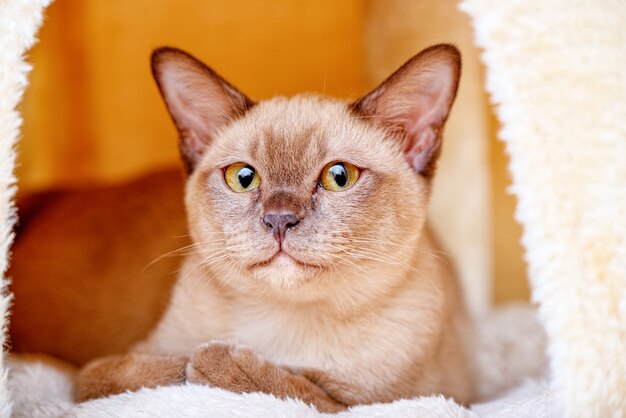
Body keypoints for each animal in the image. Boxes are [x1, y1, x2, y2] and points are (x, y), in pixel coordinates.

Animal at [74, 43, 472, 412]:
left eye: (339, 177)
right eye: (243, 178)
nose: (279, 218)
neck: (281, 324)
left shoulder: (413, 399)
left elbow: (306, 390)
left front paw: (219, 363)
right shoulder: (105, 367)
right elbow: (126, 374)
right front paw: (196, 362)